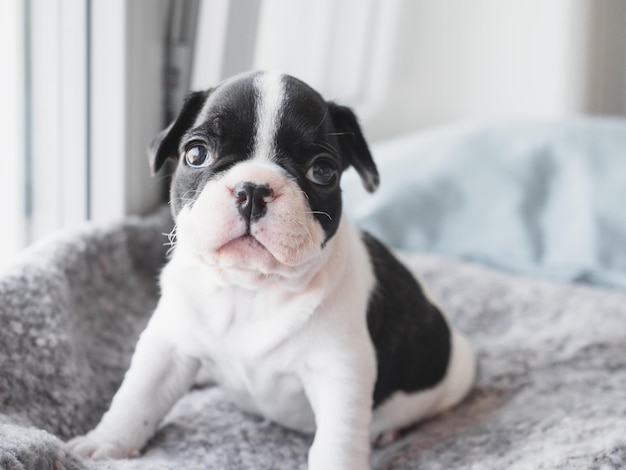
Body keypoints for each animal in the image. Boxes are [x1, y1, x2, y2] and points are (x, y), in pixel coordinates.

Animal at [68, 70, 476, 470]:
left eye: (322, 171)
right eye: (196, 153)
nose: (252, 190)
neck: (249, 287)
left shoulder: (340, 375)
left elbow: (337, 444)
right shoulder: (168, 343)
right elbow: (138, 395)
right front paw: (105, 442)